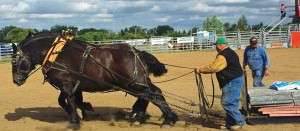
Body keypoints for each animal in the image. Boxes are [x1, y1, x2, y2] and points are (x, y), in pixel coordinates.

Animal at [10, 32, 177, 128]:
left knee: (155, 95)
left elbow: (69, 101)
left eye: (14, 61)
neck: (56, 53)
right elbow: (67, 101)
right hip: (137, 84)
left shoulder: (66, 84)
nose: (16, 80)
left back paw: (168, 119)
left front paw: (75, 121)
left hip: (134, 84)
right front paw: (83, 111)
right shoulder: (72, 85)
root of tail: (138, 52)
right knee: (149, 95)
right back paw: (139, 117)